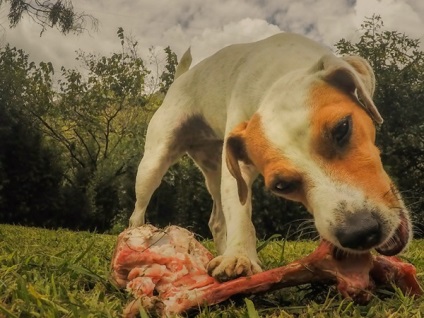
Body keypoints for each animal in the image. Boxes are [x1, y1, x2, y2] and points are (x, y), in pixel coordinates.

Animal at [131, 33, 412, 284]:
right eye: (281, 185)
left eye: (342, 128)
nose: (360, 232)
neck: (276, 78)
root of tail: (180, 79)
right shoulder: (238, 169)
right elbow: (241, 213)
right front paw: (239, 255)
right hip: (154, 165)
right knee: (138, 212)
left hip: (214, 171)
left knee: (217, 220)